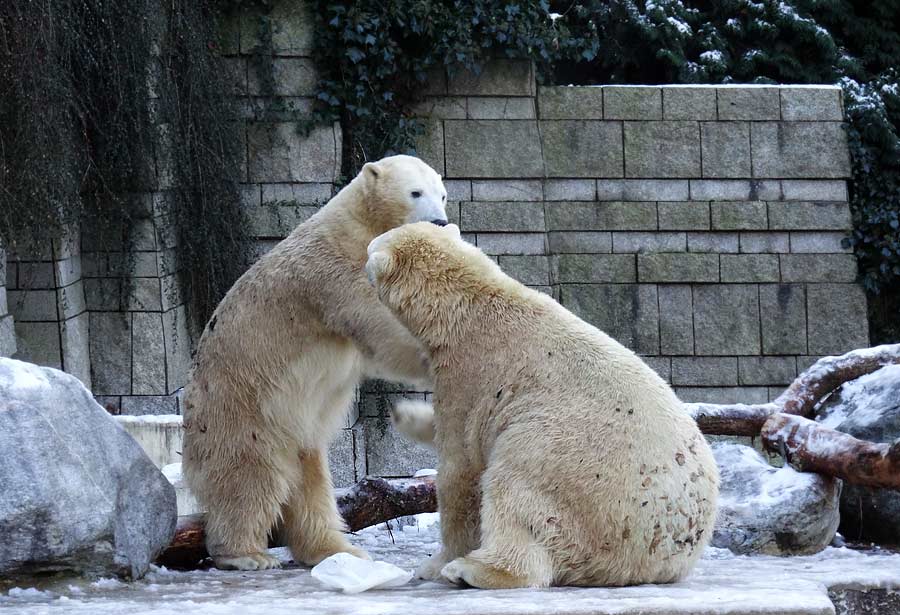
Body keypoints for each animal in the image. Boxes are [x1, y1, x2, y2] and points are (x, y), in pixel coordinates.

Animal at [181, 155, 448, 572]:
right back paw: (246, 554)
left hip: (295, 428)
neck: (358, 224)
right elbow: (378, 327)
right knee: (250, 475)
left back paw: (337, 548)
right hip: (243, 408)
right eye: (415, 192)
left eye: (443, 193)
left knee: (309, 484)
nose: (439, 221)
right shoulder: (333, 271)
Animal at [364, 224, 716, 588]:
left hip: (575, 466)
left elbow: (462, 469)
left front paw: (435, 564)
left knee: (513, 485)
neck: (469, 307)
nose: (363, 257)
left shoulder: (471, 372)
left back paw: (472, 569)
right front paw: (405, 414)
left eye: (372, 248)